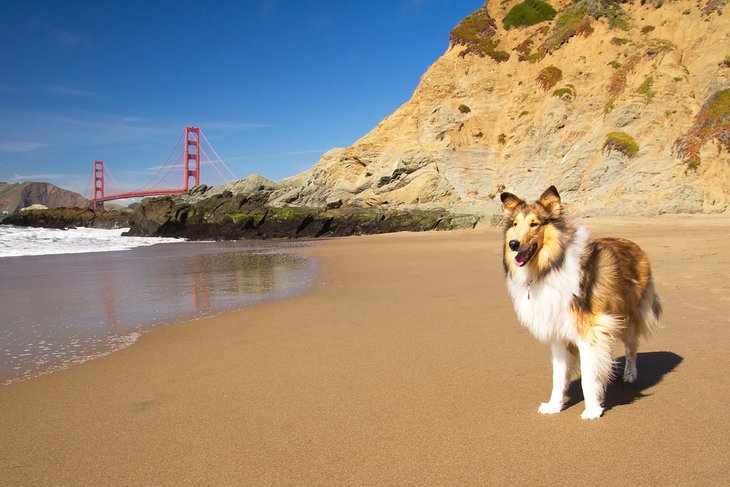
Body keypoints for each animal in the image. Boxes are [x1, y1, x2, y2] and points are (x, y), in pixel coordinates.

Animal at [500, 186, 660, 420]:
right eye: (514, 224)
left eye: (534, 224)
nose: (513, 245)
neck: (548, 268)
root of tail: (634, 244)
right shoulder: (557, 333)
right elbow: (558, 376)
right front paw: (554, 405)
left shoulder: (588, 331)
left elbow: (587, 375)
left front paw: (592, 409)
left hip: (627, 316)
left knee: (632, 346)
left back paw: (629, 374)